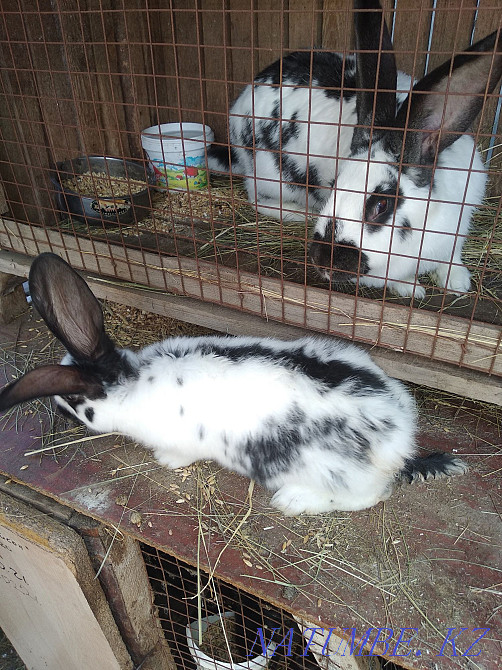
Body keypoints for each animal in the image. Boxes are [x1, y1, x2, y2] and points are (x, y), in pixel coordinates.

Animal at [0, 253, 467, 515]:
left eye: (73, 406)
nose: (58, 415)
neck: (129, 381)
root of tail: (400, 443)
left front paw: (165, 462)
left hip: (333, 476)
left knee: (370, 497)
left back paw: (292, 502)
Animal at [208, 0, 502, 298]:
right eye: (335, 186)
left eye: (381, 204)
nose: (323, 261)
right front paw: (412, 288)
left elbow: (450, 257)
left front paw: (458, 282)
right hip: (272, 179)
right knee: (255, 198)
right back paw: (298, 212)